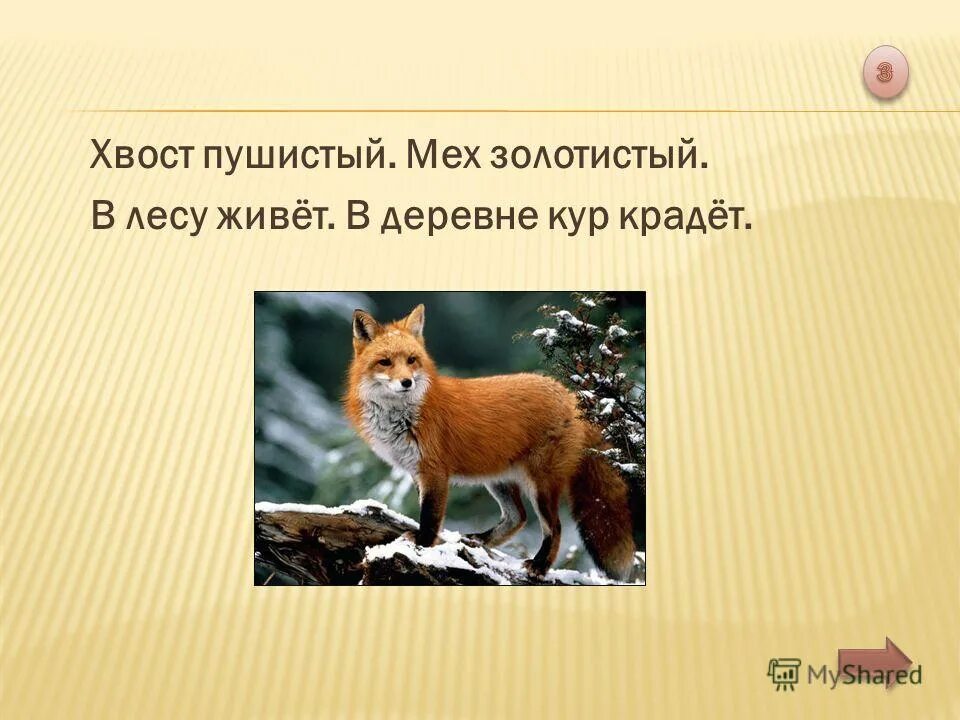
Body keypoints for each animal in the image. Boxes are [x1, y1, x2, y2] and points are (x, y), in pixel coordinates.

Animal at [343, 304, 636, 580]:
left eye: (411, 360)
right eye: (385, 362)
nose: (407, 382)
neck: (403, 416)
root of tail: (571, 395)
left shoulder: (434, 471)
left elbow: (430, 517)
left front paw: (422, 546)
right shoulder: (417, 471)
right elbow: (427, 513)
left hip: (540, 485)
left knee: (554, 527)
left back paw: (540, 566)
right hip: (498, 479)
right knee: (518, 517)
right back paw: (480, 541)